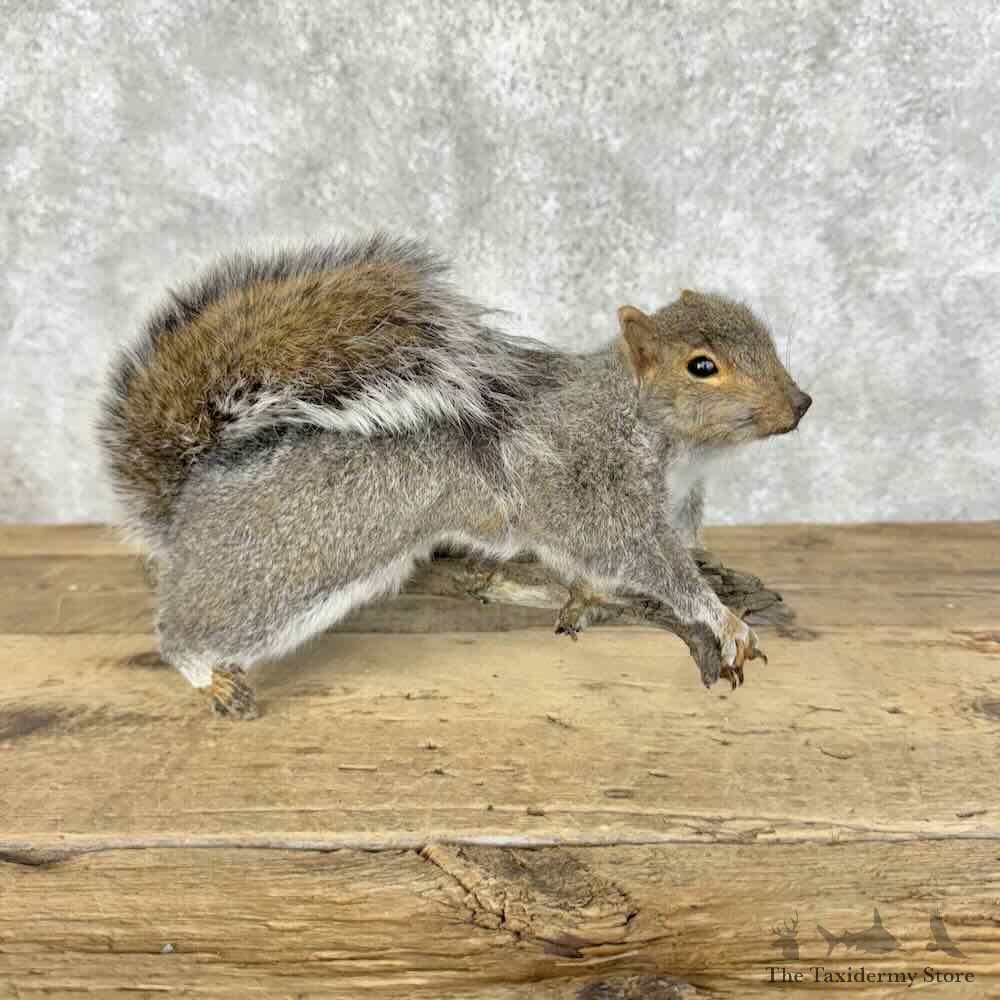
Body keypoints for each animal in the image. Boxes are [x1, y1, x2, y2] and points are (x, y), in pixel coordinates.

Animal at [99, 233, 811, 718]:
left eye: (764, 334)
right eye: (701, 367)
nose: (800, 404)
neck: (680, 449)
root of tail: (190, 494)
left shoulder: (679, 502)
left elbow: (667, 553)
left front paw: (706, 576)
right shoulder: (596, 490)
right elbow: (646, 563)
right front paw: (721, 618)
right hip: (293, 562)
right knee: (187, 629)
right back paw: (207, 674)